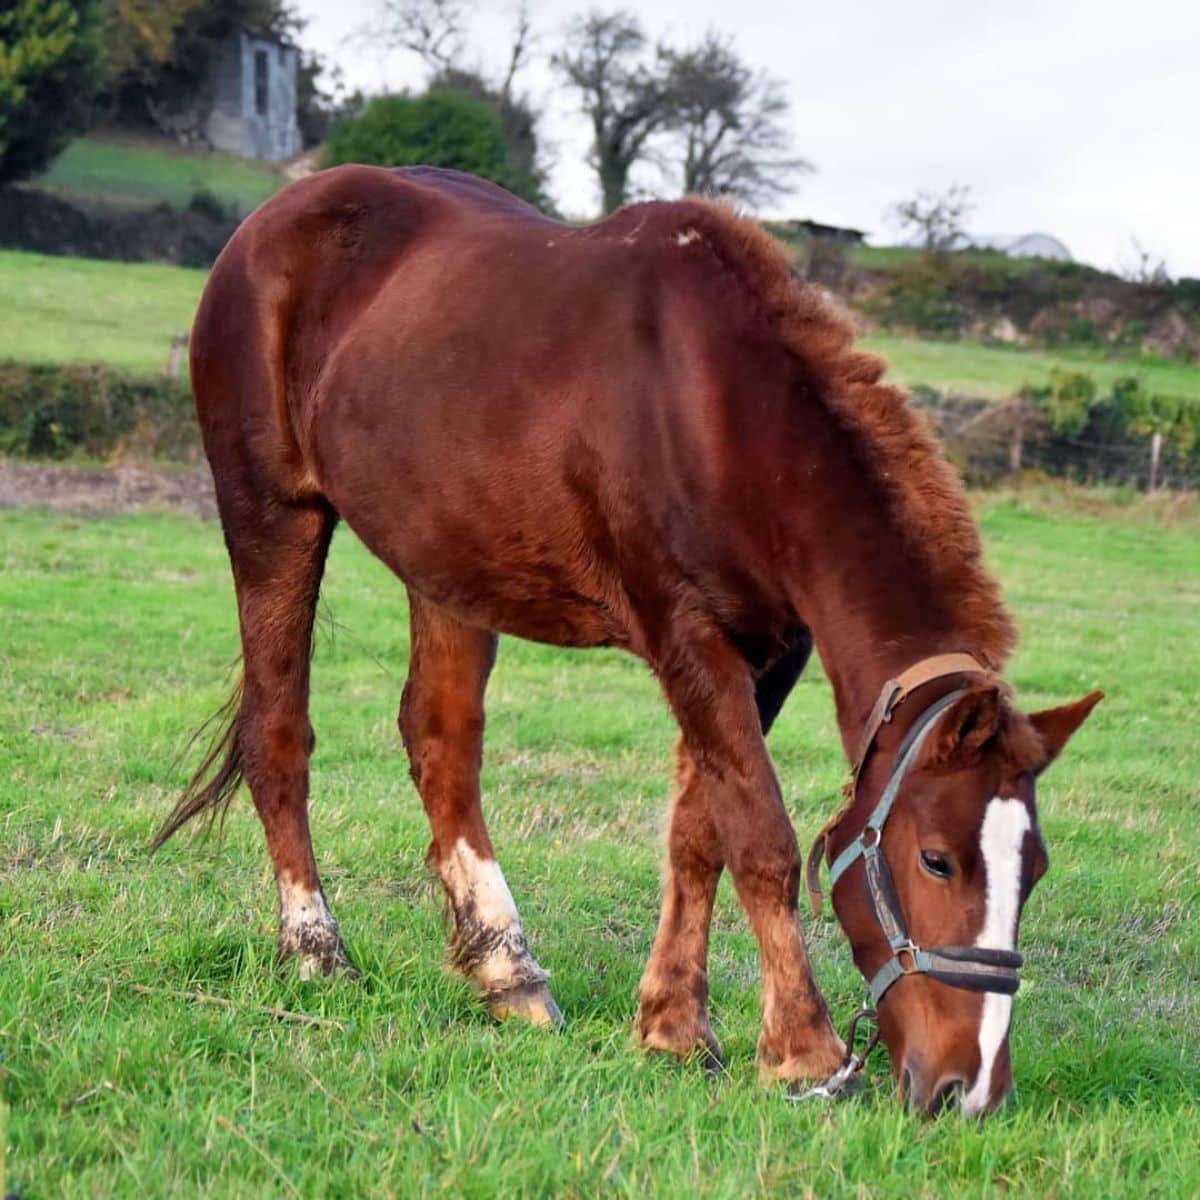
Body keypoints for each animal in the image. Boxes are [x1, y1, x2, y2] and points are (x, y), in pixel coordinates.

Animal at [154, 166, 1099, 1113]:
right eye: (937, 861)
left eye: (1037, 868)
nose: (968, 1088)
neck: (720, 411)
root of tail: (277, 216)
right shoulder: (685, 636)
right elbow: (760, 837)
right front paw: (805, 1049)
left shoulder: (767, 652)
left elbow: (700, 832)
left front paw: (673, 1028)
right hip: (273, 515)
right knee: (279, 733)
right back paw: (317, 952)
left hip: (444, 563)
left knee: (441, 744)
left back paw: (507, 970)